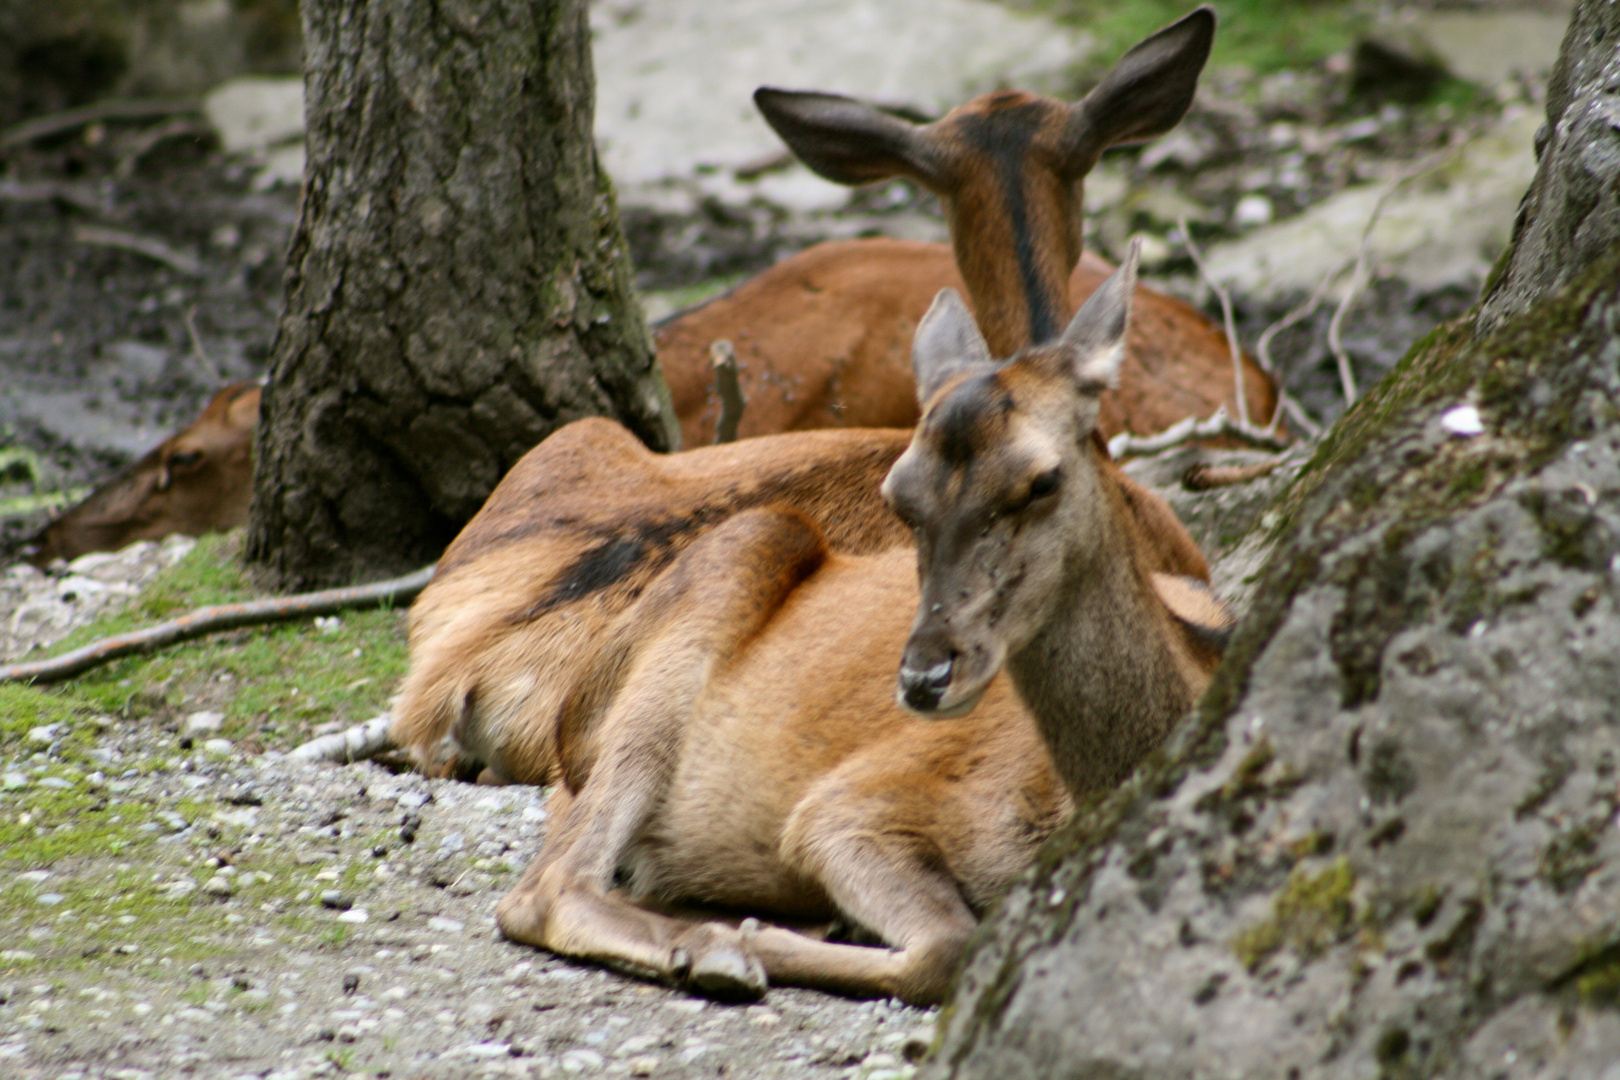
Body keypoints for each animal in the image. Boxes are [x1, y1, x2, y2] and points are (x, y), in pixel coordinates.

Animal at [476, 244, 1224, 1003]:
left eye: (1043, 479)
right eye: (900, 496)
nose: (925, 676)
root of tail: (565, 739)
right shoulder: (851, 805)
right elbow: (948, 945)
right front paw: (757, 941)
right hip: (720, 582)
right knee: (544, 890)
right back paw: (713, 948)